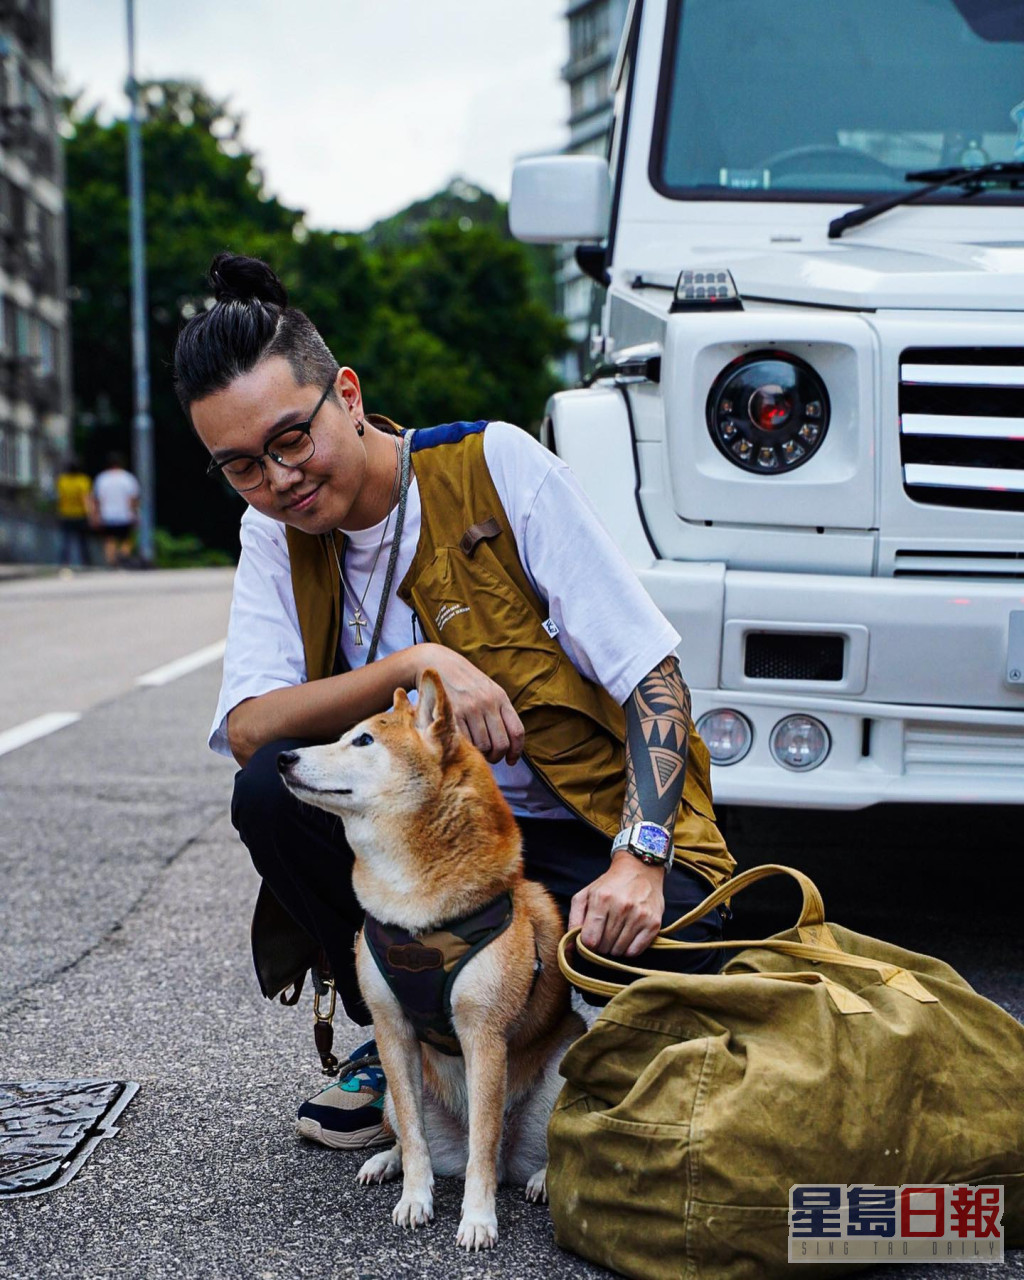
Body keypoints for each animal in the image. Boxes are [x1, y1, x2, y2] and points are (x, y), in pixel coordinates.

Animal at [277, 670, 583, 1249]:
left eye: (364, 741)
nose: (284, 757)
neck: (416, 913)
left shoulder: (484, 1035)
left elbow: (484, 1143)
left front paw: (478, 1218)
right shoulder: (392, 1030)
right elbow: (417, 1140)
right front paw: (416, 1197)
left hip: (564, 1070)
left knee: (525, 1150)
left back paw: (538, 1178)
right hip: (403, 1092)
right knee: (410, 1132)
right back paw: (386, 1161)